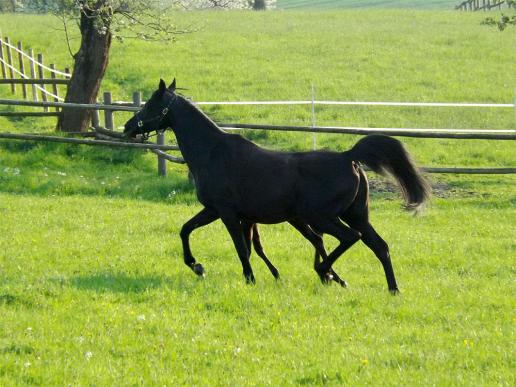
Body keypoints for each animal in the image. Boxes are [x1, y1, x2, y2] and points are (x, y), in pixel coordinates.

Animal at [126, 80, 432, 292]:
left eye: (151, 104)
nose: (128, 127)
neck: (213, 153)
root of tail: (349, 157)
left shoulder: (226, 213)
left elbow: (241, 248)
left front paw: (247, 278)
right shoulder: (217, 211)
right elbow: (186, 229)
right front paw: (197, 266)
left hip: (319, 217)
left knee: (347, 238)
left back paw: (326, 272)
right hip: (355, 215)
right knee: (379, 245)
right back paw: (392, 289)